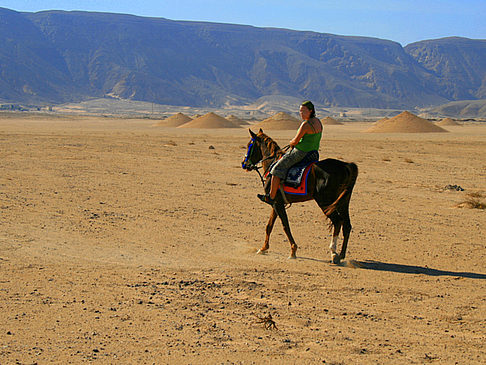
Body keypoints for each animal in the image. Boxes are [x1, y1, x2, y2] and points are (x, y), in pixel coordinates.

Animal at [242, 129, 358, 264]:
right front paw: (263, 248)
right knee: (347, 225)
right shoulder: (276, 202)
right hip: (343, 202)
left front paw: (293, 251)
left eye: (249, 145)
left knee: (338, 221)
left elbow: (285, 226)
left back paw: (334, 253)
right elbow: (269, 226)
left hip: (325, 202)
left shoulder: (277, 203)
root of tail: (346, 166)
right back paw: (342, 254)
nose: (244, 164)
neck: (272, 164)